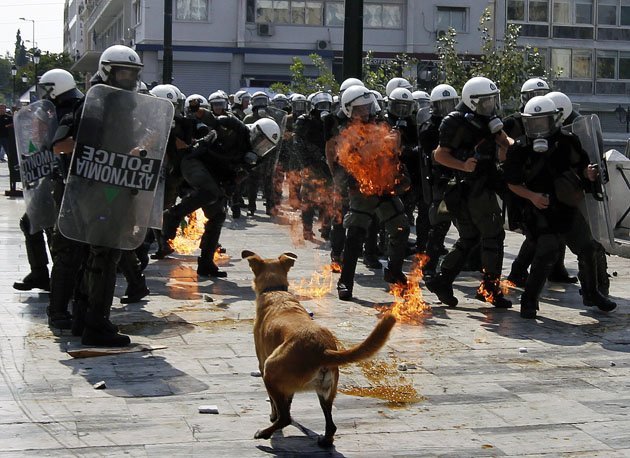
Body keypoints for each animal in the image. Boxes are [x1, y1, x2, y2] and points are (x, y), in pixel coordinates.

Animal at [243, 250, 398, 448]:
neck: (275, 291)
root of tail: (322, 350)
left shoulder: (262, 364)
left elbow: (275, 404)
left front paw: (272, 416)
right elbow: (288, 401)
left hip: (270, 369)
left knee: (286, 417)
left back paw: (264, 433)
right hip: (325, 391)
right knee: (330, 425)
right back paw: (325, 440)